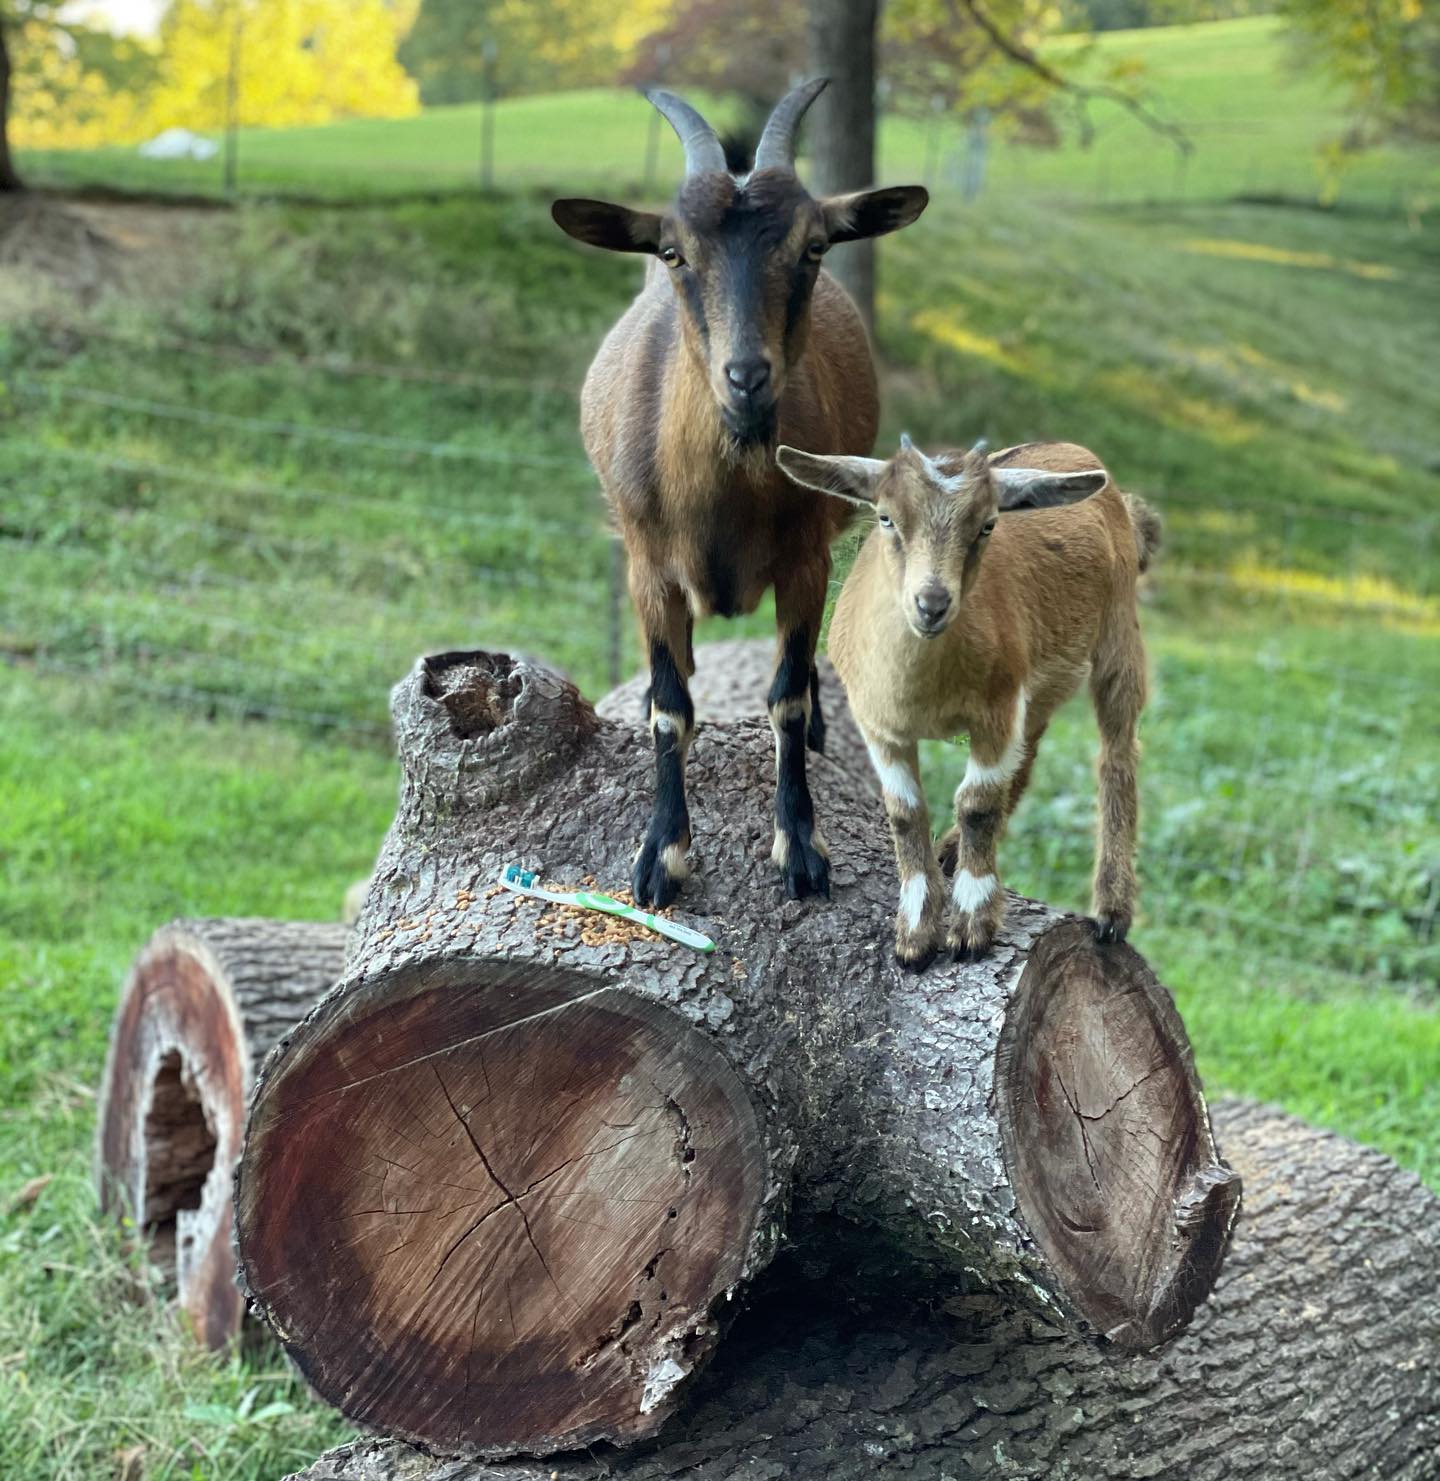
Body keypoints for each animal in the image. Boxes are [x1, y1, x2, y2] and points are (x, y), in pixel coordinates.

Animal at [552, 83, 928, 908]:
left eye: (813, 247)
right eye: (673, 252)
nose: (747, 378)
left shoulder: (806, 559)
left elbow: (786, 695)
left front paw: (802, 849)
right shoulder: (647, 566)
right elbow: (670, 709)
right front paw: (661, 855)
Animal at [776, 436, 1161, 968]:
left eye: (987, 525)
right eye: (886, 517)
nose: (932, 604)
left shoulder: (996, 712)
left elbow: (977, 803)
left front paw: (971, 925)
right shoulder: (877, 721)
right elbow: (905, 811)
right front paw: (915, 933)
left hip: (1119, 634)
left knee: (1117, 755)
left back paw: (1111, 912)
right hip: (1039, 689)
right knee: (1030, 756)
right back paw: (949, 852)